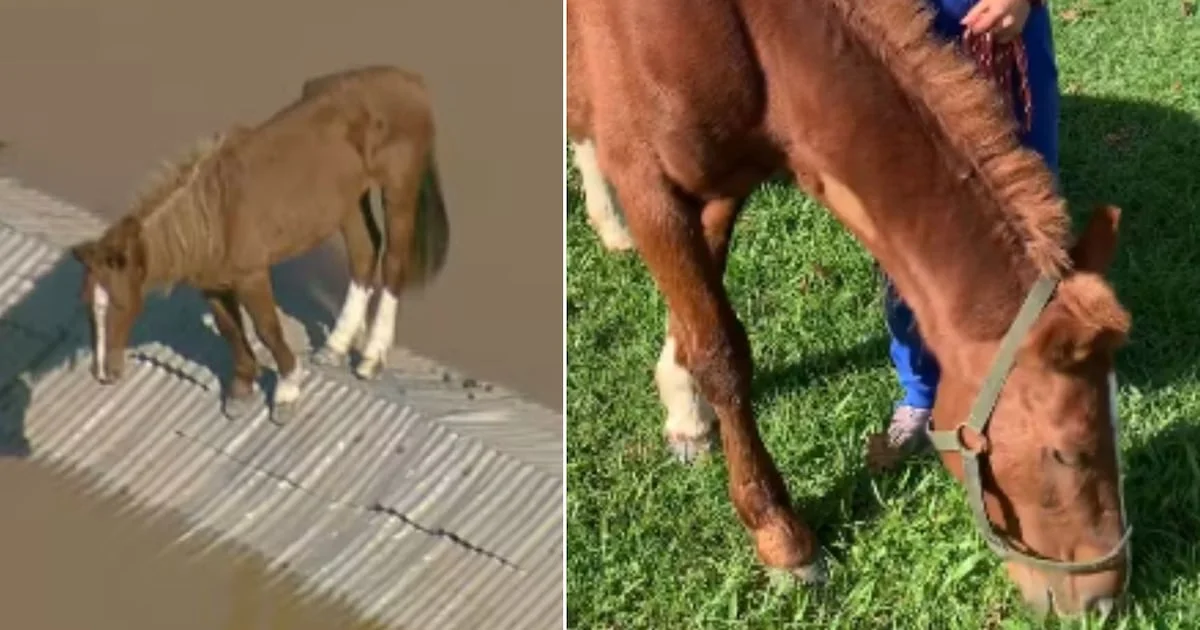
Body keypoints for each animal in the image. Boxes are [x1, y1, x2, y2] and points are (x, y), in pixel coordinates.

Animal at [70, 65, 450, 422]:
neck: (214, 215)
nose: (103, 373)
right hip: (349, 201)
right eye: (87, 305)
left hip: (398, 189)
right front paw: (241, 390)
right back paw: (335, 346)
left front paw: (286, 392)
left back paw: (371, 359)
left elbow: (267, 329)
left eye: (119, 304)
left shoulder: (252, 276)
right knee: (364, 254)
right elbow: (230, 330)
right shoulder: (212, 284)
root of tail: (410, 80)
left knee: (394, 263)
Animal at [567, 0, 1132, 618]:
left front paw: (684, 408)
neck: (749, 32)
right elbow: (721, 352)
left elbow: (698, 317)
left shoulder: (723, 181)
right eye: (1068, 454)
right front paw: (782, 540)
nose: (1104, 600)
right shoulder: (649, 186)